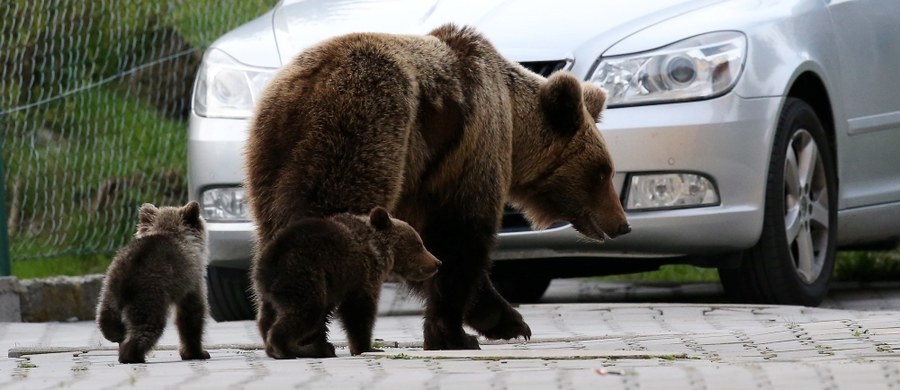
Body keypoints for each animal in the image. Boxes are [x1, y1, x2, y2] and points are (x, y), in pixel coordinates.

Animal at [243, 22, 628, 348]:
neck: (514, 123)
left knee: (271, 229)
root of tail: (306, 86)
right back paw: (311, 337)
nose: (622, 223)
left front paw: (508, 322)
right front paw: (456, 334)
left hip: (267, 155)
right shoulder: (471, 151)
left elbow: (424, 246)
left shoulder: (421, 181)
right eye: (602, 173)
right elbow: (459, 238)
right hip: (363, 129)